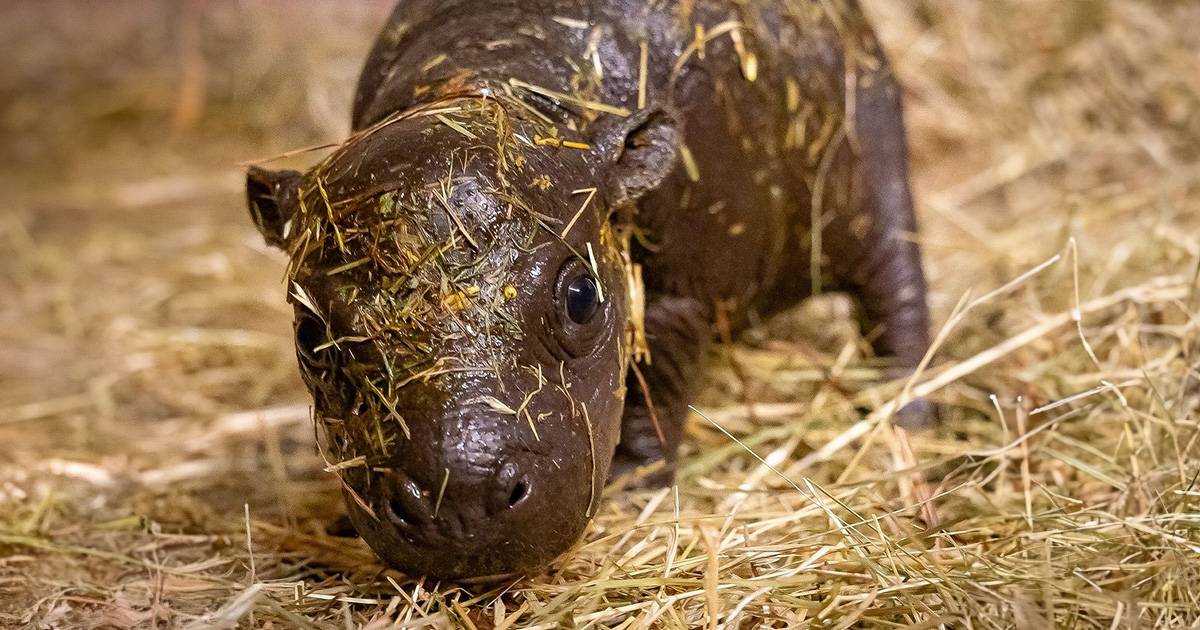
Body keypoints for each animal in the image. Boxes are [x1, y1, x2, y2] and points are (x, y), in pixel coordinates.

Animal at [248, 0, 931, 580]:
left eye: (581, 297)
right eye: (309, 335)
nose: (458, 496)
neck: (491, 81)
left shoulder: (677, 297)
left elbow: (657, 387)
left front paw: (632, 489)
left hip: (878, 184)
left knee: (899, 298)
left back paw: (907, 414)